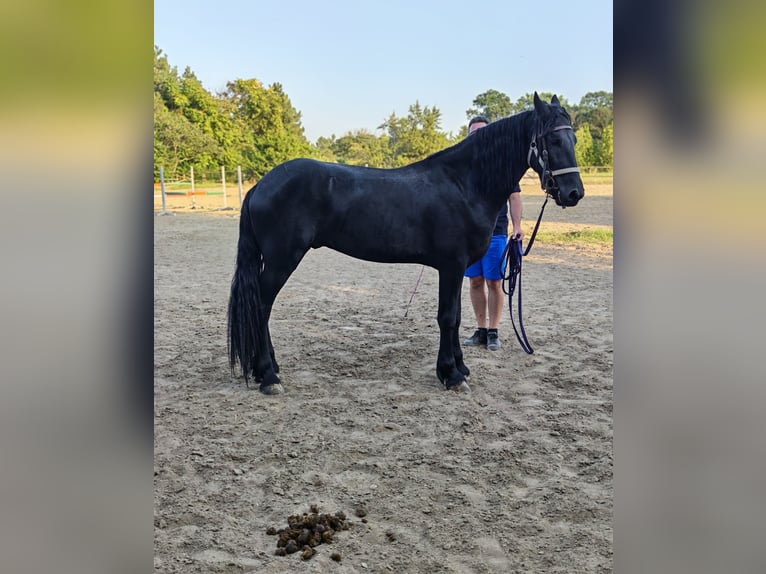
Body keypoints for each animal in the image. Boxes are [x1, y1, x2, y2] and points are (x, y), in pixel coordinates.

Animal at [228, 93, 584, 394]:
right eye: (552, 139)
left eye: (574, 139)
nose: (573, 193)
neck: (464, 183)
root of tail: (261, 185)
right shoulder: (451, 265)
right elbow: (448, 317)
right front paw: (451, 375)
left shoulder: (456, 268)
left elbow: (454, 316)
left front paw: (459, 369)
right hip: (282, 260)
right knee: (261, 306)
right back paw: (269, 376)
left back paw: (266, 370)